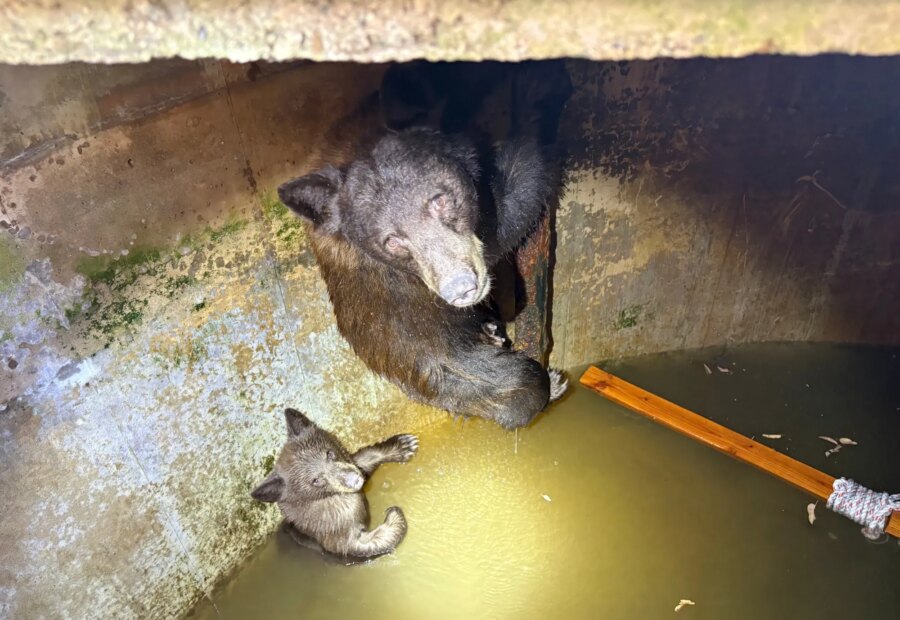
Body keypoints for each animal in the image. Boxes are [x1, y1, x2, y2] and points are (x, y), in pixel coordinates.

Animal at [251, 408, 418, 561]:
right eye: (315, 480)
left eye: (329, 453)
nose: (353, 479)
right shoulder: (333, 532)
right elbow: (363, 546)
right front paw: (394, 515)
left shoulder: (349, 462)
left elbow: (365, 457)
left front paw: (404, 445)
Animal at [277, 62, 571, 429]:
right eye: (391, 241)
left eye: (439, 199)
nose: (460, 288)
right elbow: (509, 213)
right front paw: (539, 87)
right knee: (515, 385)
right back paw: (549, 381)